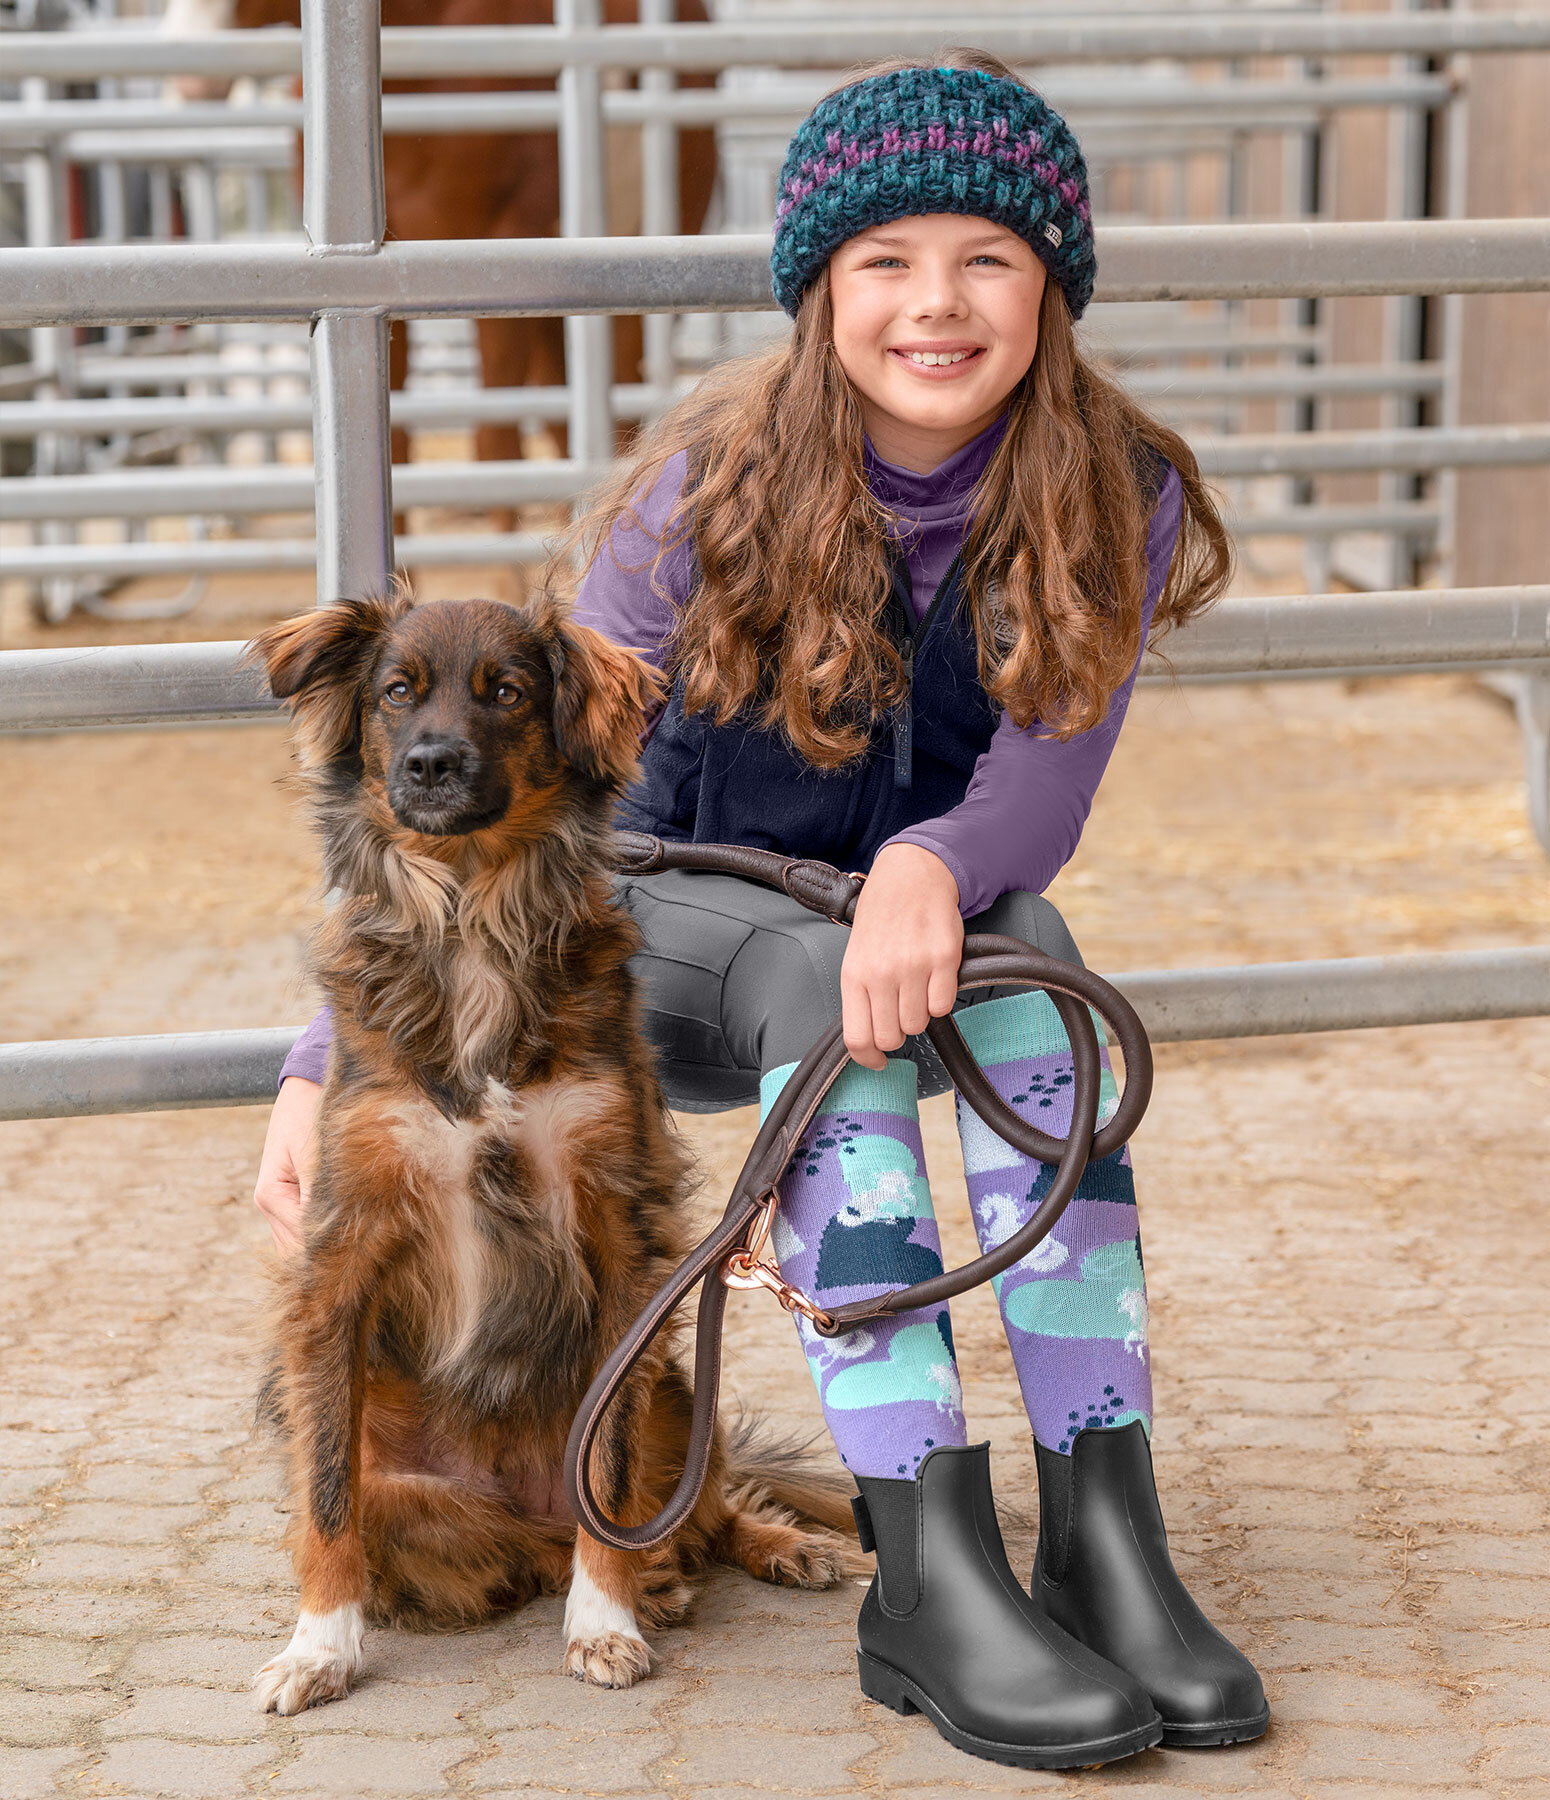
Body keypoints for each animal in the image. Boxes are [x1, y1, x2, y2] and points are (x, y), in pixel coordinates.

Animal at [244, 594, 846, 1713]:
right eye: (396, 691)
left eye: (508, 692)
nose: (431, 762)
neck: (472, 913)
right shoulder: (339, 1254)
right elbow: (326, 1496)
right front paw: (320, 1646)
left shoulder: (619, 1234)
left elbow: (606, 1471)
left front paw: (602, 1621)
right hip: (426, 1489)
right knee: (527, 1549)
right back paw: (651, 1580)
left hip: (671, 1388)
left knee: (689, 1503)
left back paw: (744, 1552)